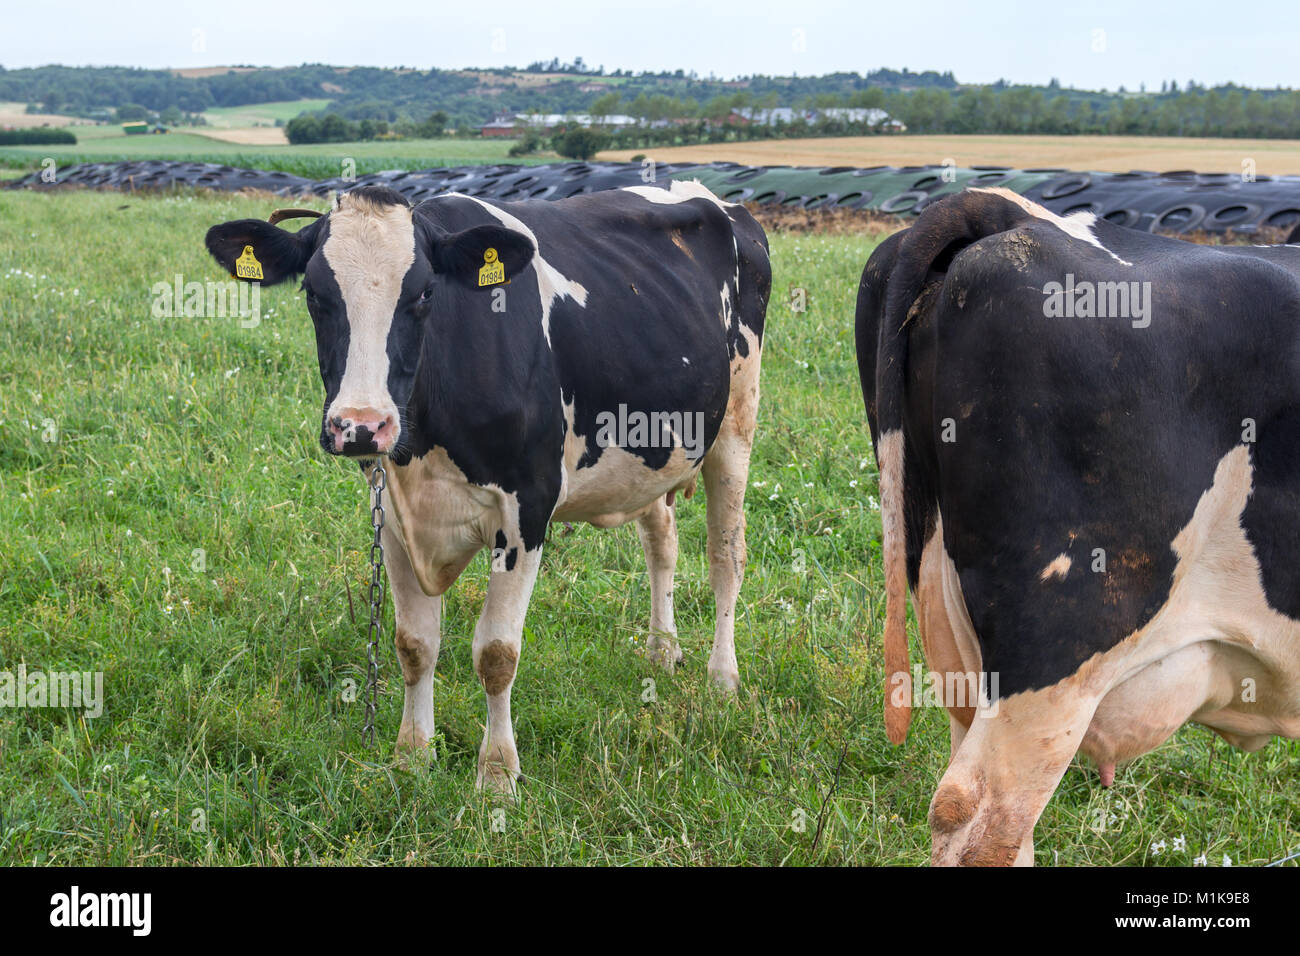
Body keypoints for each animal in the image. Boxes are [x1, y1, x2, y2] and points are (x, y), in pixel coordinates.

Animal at [206, 179, 764, 790]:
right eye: (313, 294)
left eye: (424, 294)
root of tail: (709, 196)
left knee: (726, 556)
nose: (361, 426)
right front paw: (412, 755)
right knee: (661, 540)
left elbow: (496, 653)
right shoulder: (394, 513)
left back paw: (722, 679)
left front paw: (497, 775)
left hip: (736, 425)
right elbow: (414, 644)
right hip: (650, 454)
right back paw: (662, 651)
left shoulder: (527, 510)